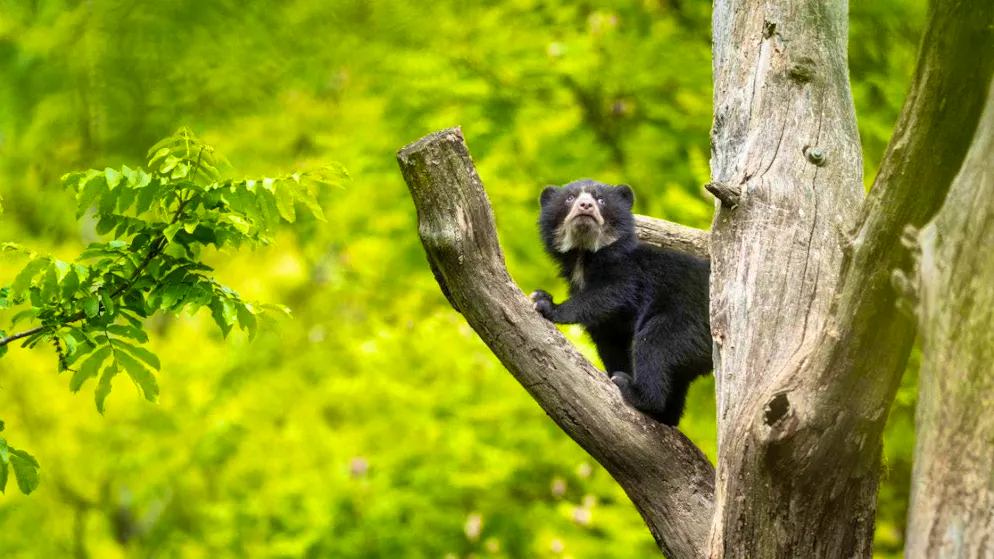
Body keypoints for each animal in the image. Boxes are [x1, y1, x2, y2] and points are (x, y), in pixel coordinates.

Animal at [530, 179, 712, 426]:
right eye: (569, 198)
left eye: (600, 200)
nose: (585, 206)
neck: (585, 256)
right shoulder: (609, 329)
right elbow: (610, 340)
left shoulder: (630, 273)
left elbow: (610, 295)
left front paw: (545, 302)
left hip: (688, 320)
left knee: (654, 342)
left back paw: (635, 391)